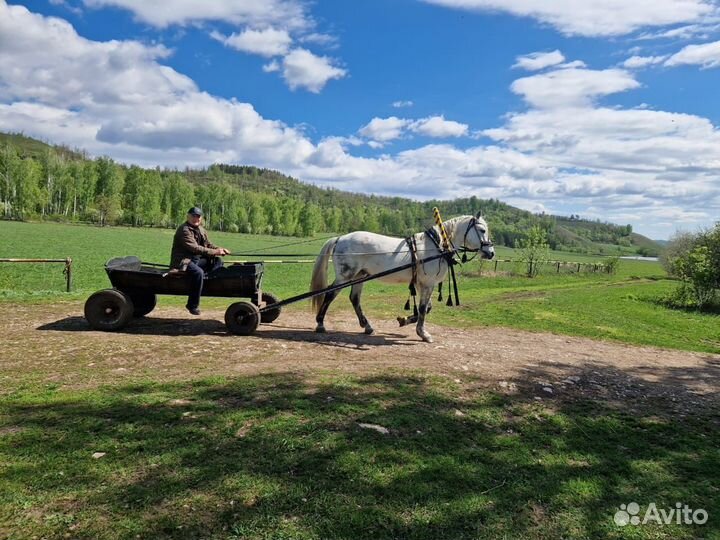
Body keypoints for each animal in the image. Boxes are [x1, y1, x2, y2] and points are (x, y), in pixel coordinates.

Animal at [310, 212, 496, 342]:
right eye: (482, 230)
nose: (491, 252)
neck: (436, 246)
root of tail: (340, 238)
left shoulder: (422, 283)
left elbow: (426, 308)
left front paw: (404, 320)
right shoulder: (428, 283)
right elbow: (423, 308)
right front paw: (423, 334)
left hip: (359, 276)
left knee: (354, 298)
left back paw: (367, 326)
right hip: (345, 275)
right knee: (330, 294)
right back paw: (320, 323)